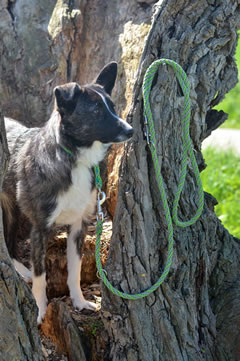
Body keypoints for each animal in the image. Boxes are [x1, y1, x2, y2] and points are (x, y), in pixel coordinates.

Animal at [1, 62, 133, 324]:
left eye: (112, 107)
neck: (75, 159)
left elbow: (75, 271)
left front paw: (79, 302)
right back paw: (23, 271)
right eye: (96, 110)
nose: (131, 130)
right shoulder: (40, 230)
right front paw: (40, 309)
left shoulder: (79, 226)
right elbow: (41, 277)